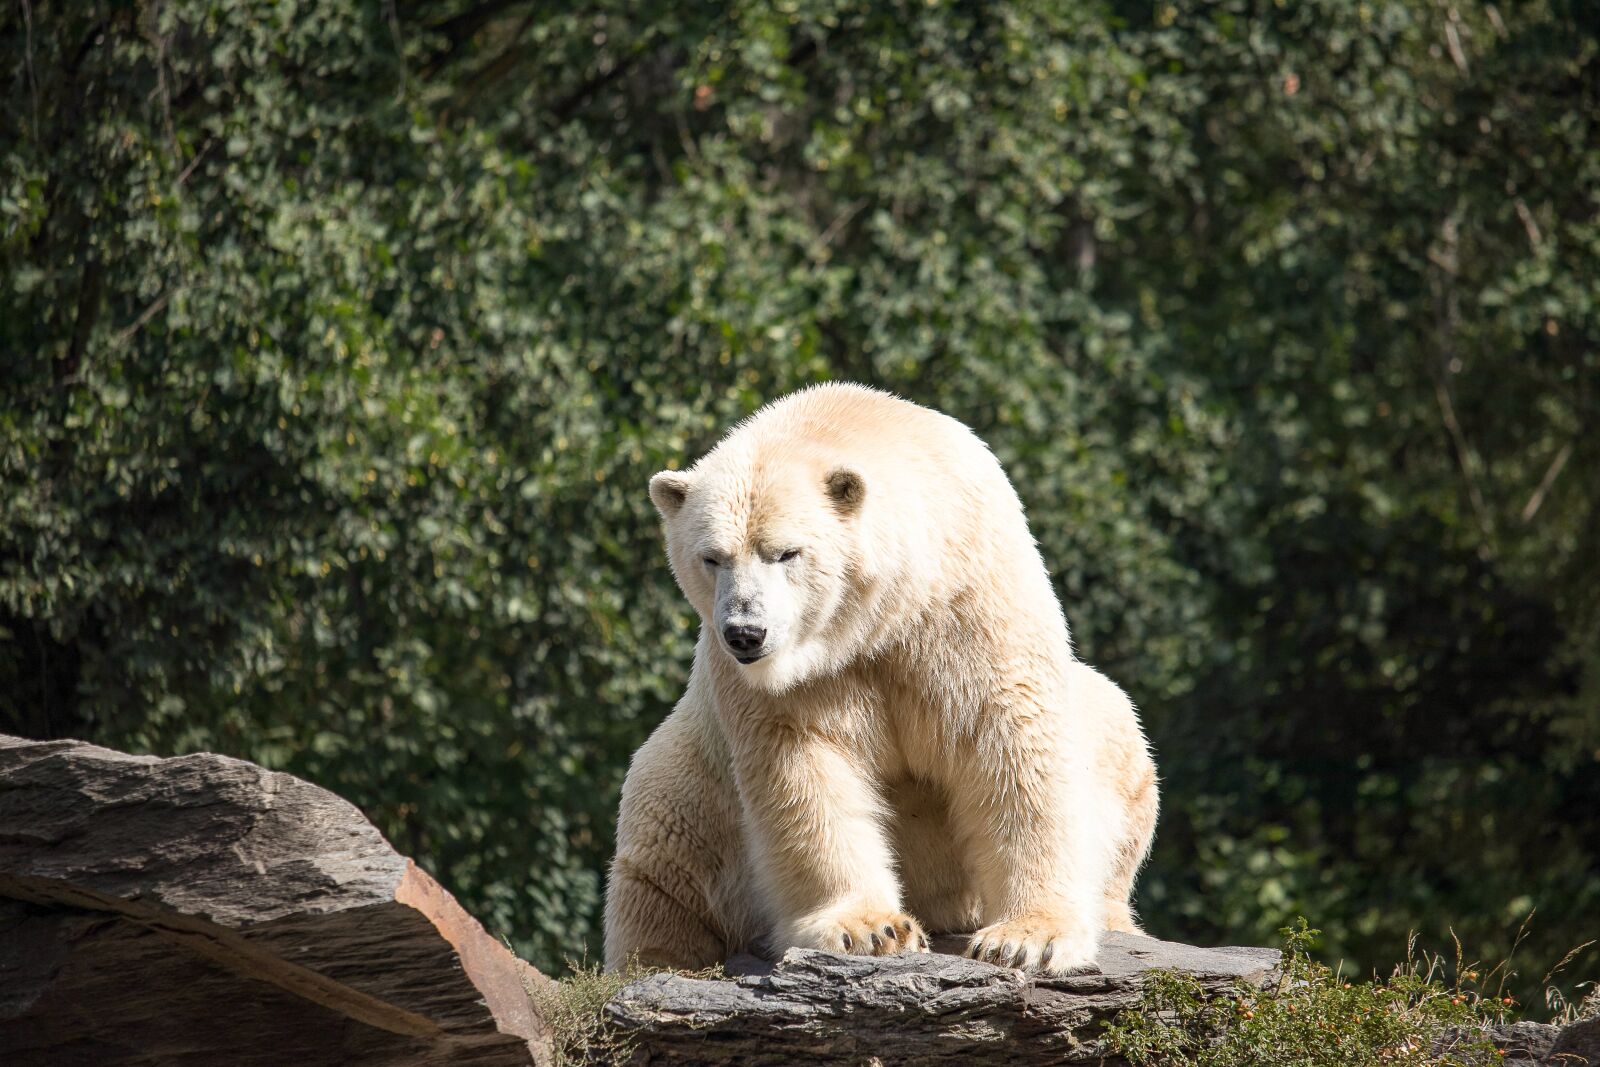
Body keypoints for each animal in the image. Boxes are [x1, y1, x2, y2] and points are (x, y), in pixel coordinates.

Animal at [604, 383, 1158, 974]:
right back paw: (662, 958)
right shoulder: (793, 680)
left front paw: (1028, 938)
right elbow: (805, 769)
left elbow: (1010, 738)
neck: (880, 616)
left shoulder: (966, 606)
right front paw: (871, 929)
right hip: (692, 783)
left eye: (786, 552)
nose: (745, 633)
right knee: (662, 861)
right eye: (711, 557)